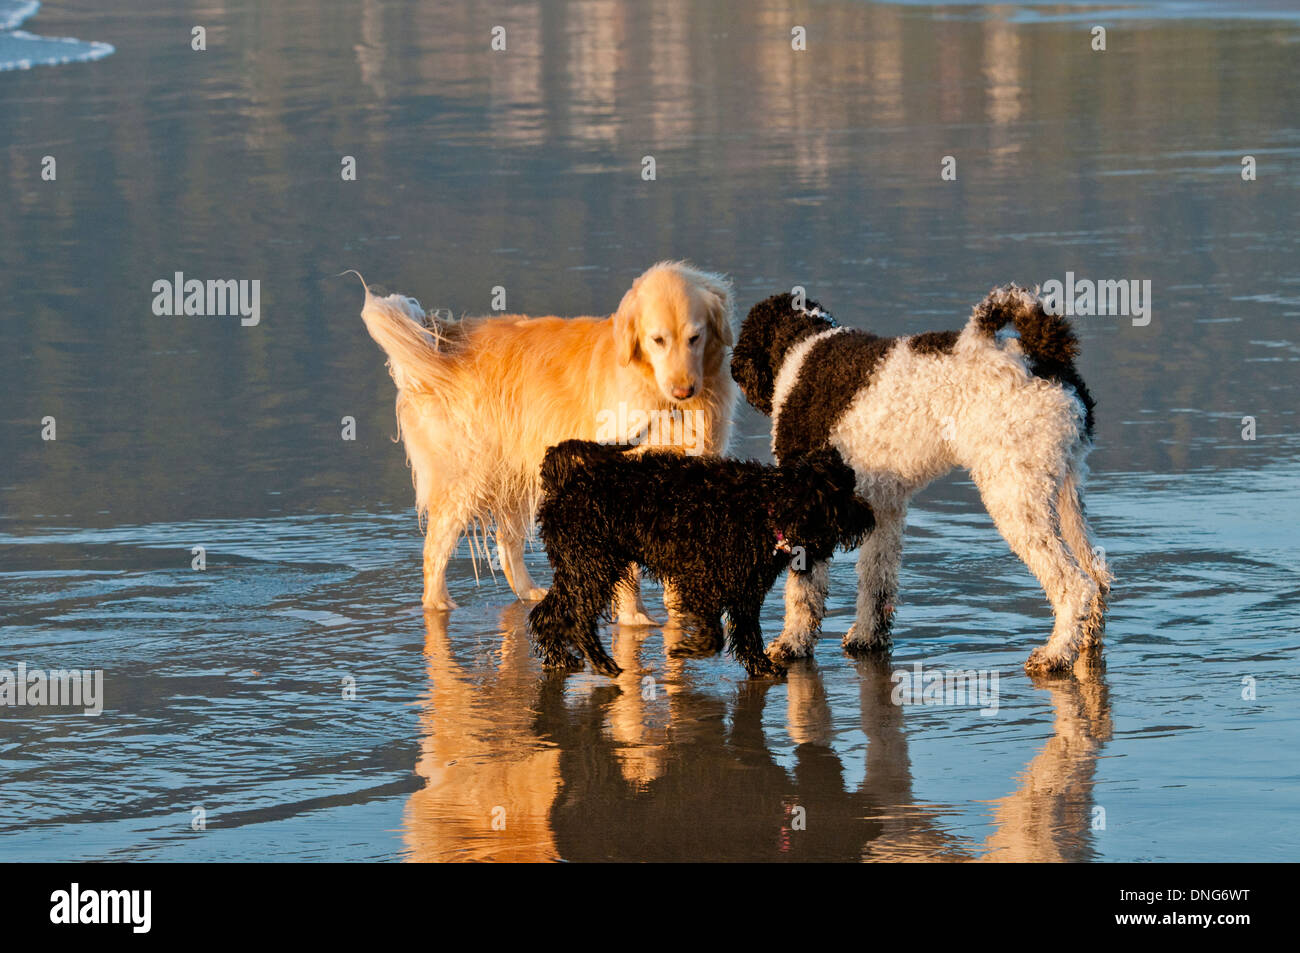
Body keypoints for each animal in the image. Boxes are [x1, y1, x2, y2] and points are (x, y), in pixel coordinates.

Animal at [527, 439, 873, 676]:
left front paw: (760, 665)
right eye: (843, 495)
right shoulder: (701, 580)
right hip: (593, 566)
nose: (870, 516)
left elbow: (747, 630)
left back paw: (558, 657)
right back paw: (599, 660)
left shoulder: (745, 589)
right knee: (579, 616)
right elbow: (716, 634)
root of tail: (567, 483)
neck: (767, 507)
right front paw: (687, 649)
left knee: (547, 611)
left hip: (578, 565)